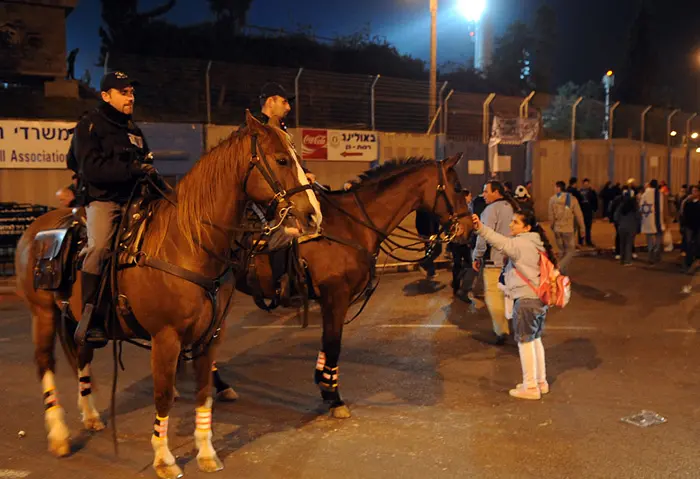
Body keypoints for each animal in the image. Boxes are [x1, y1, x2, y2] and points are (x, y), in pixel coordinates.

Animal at [13, 112, 320, 479]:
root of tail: (34, 229)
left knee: (83, 354)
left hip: (78, 319)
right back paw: (59, 434)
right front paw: (164, 458)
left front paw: (206, 452)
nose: (313, 215)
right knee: (45, 363)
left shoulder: (210, 336)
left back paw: (90, 416)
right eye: (281, 160)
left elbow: (203, 392)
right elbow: (163, 395)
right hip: (42, 314)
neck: (188, 242)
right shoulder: (166, 337)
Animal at [227, 156, 474, 418]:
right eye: (457, 187)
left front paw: (326, 389)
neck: (350, 224)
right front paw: (334, 398)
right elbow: (333, 344)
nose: (469, 228)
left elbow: (327, 344)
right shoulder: (336, 295)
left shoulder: (332, 299)